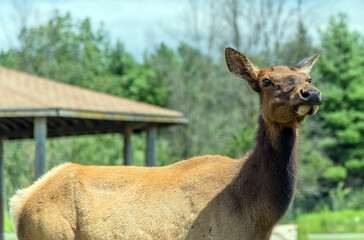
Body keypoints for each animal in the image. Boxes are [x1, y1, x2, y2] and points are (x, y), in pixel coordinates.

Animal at [9, 47, 322, 240]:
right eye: (266, 81)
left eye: (308, 76)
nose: (311, 93)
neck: (255, 216)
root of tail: (19, 202)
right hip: (48, 232)